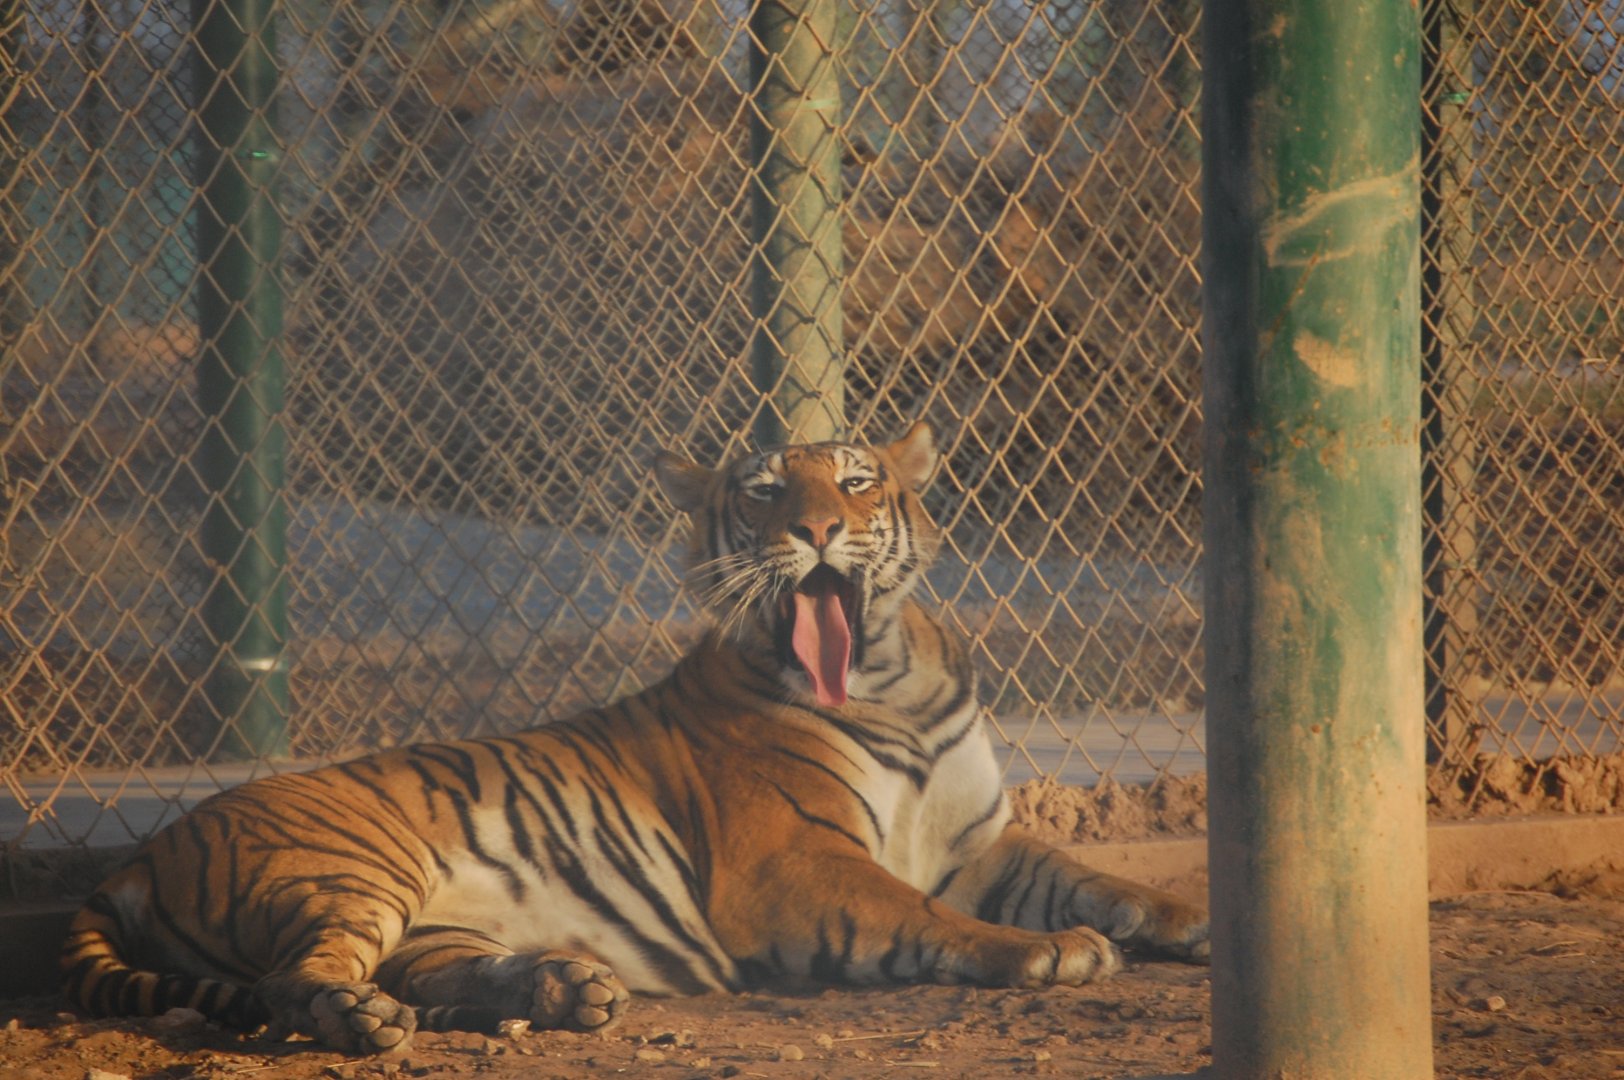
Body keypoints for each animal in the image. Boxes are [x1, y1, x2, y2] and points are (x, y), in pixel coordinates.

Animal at [61, 422, 1209, 1054]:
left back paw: (567, 988)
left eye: (855, 480)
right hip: (349, 870)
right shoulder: (790, 858)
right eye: (763, 491)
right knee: (296, 983)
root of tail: (139, 854)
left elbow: (1091, 876)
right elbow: (922, 912)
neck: (890, 675)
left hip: (426, 923)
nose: (818, 529)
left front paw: (1187, 919)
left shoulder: (979, 841)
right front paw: (1051, 953)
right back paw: (366, 1024)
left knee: (426, 975)